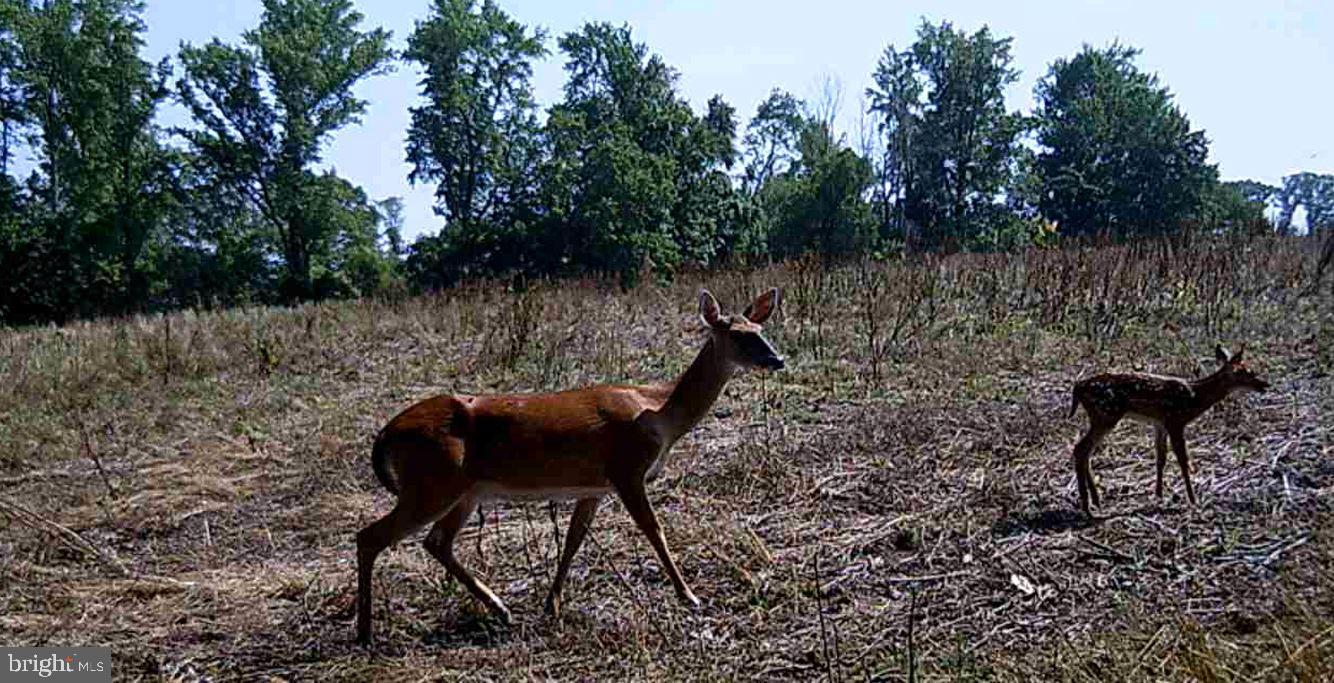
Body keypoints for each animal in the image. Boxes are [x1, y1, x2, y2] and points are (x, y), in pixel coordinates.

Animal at [360, 288, 784, 645]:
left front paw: (552, 604)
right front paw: (689, 595)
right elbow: (654, 530)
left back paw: (501, 609)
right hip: (432, 483)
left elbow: (573, 539)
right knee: (370, 536)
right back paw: (366, 633)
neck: (658, 412)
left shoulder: (595, 486)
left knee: (436, 541)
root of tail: (386, 433)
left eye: (761, 329)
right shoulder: (626, 469)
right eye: (738, 335)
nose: (777, 359)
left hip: (465, 490)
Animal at [1067, 344, 1264, 514]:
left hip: (1100, 416)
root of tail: (1078, 386)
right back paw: (1087, 506)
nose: (1264, 384)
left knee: (1085, 450)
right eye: (1246, 372)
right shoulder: (1175, 420)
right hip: (1106, 414)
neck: (1195, 397)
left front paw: (1159, 495)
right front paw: (1192, 499)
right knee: (1081, 448)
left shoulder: (1160, 423)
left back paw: (1095, 500)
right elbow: (1183, 460)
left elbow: (1161, 458)